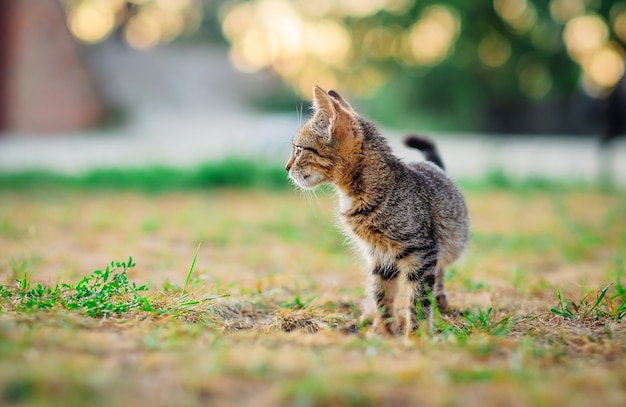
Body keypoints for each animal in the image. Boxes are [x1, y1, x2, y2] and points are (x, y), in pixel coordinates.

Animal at [286, 87, 466, 336]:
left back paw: (439, 300)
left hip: (448, 245)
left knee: (439, 273)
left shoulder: (422, 252)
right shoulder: (380, 256)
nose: (286, 167)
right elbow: (382, 295)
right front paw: (387, 331)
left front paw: (416, 336)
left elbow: (418, 300)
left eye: (299, 149)